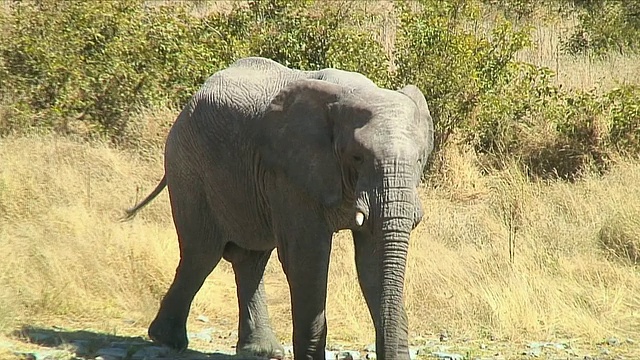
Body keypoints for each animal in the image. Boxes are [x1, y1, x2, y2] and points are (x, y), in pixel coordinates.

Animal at [124, 57, 436, 360]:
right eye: (357, 157)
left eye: (420, 159)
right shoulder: (290, 172)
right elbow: (308, 257)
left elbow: (373, 261)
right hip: (188, 164)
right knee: (202, 252)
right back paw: (168, 339)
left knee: (250, 258)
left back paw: (262, 351)